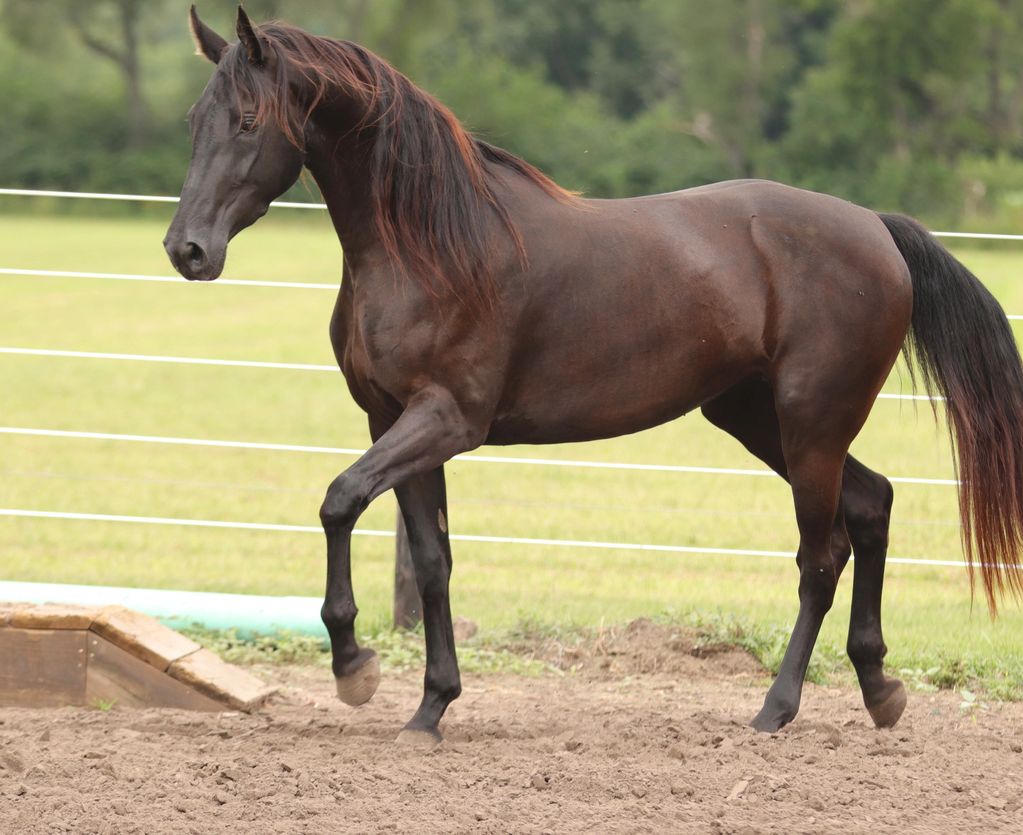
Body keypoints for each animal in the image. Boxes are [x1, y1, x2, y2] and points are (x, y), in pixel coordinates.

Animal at [165, 6, 1023, 744]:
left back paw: (774, 709)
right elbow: (433, 560)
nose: (187, 249)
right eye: (195, 121)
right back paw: (879, 690)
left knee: (821, 556)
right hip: (761, 420)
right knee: (872, 506)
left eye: (247, 120)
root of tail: (875, 226)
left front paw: (354, 668)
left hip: (811, 422)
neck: (430, 247)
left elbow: (339, 499)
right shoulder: (394, 421)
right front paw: (431, 706)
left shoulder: (444, 419)